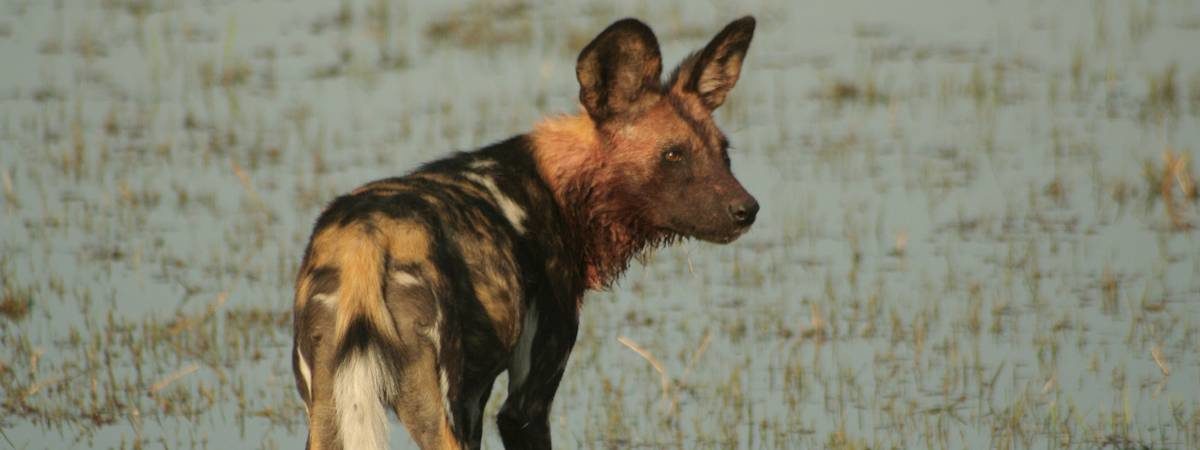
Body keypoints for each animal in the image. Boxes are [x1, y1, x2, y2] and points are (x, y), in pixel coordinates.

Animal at [294, 15, 753, 450]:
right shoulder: (524, 403)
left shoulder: (475, 399)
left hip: (329, 412)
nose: (748, 210)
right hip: (436, 413)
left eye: (724, 153)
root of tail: (365, 241)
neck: (562, 187)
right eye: (673, 155)